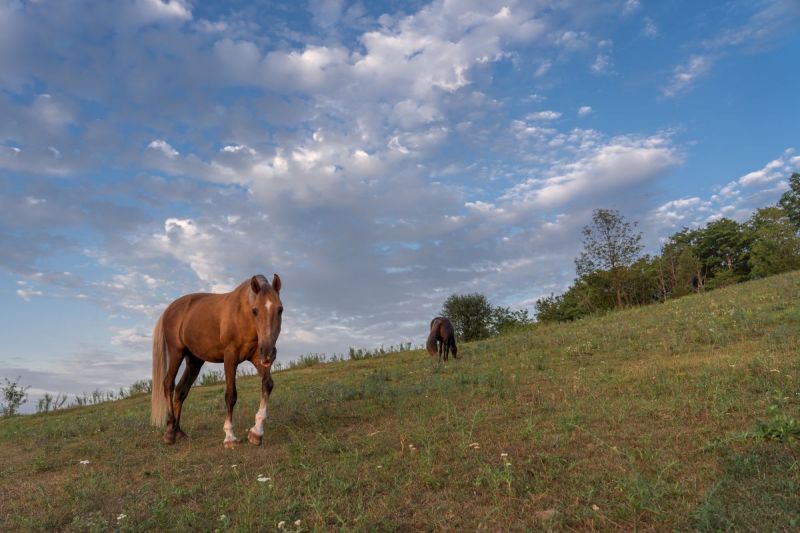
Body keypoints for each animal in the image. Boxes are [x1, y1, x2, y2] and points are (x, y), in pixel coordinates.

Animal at [150, 274, 283, 448]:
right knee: (168, 384)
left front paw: (256, 432)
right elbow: (231, 396)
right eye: (255, 311)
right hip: (176, 353)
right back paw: (169, 432)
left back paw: (178, 432)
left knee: (181, 390)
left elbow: (267, 385)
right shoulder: (230, 358)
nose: (269, 352)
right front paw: (229, 436)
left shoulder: (256, 357)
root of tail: (168, 310)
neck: (242, 313)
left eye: (280, 310)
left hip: (194, 361)